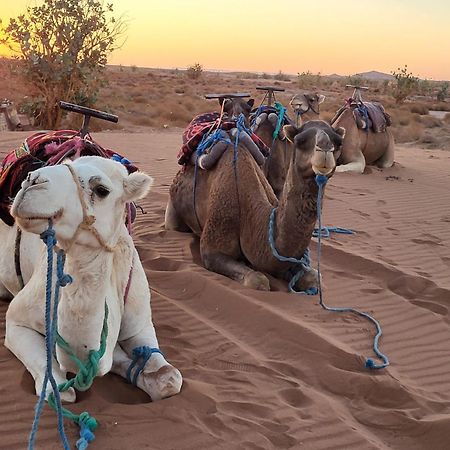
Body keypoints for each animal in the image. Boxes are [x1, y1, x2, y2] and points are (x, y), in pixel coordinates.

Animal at [0, 156, 183, 402]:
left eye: (101, 190)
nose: (32, 181)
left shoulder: (139, 325)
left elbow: (169, 379)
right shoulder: (17, 321)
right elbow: (57, 390)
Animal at [165, 119, 344, 290]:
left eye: (338, 142)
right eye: (300, 140)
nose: (325, 149)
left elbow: (314, 277)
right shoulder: (213, 246)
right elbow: (258, 280)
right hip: (173, 208)